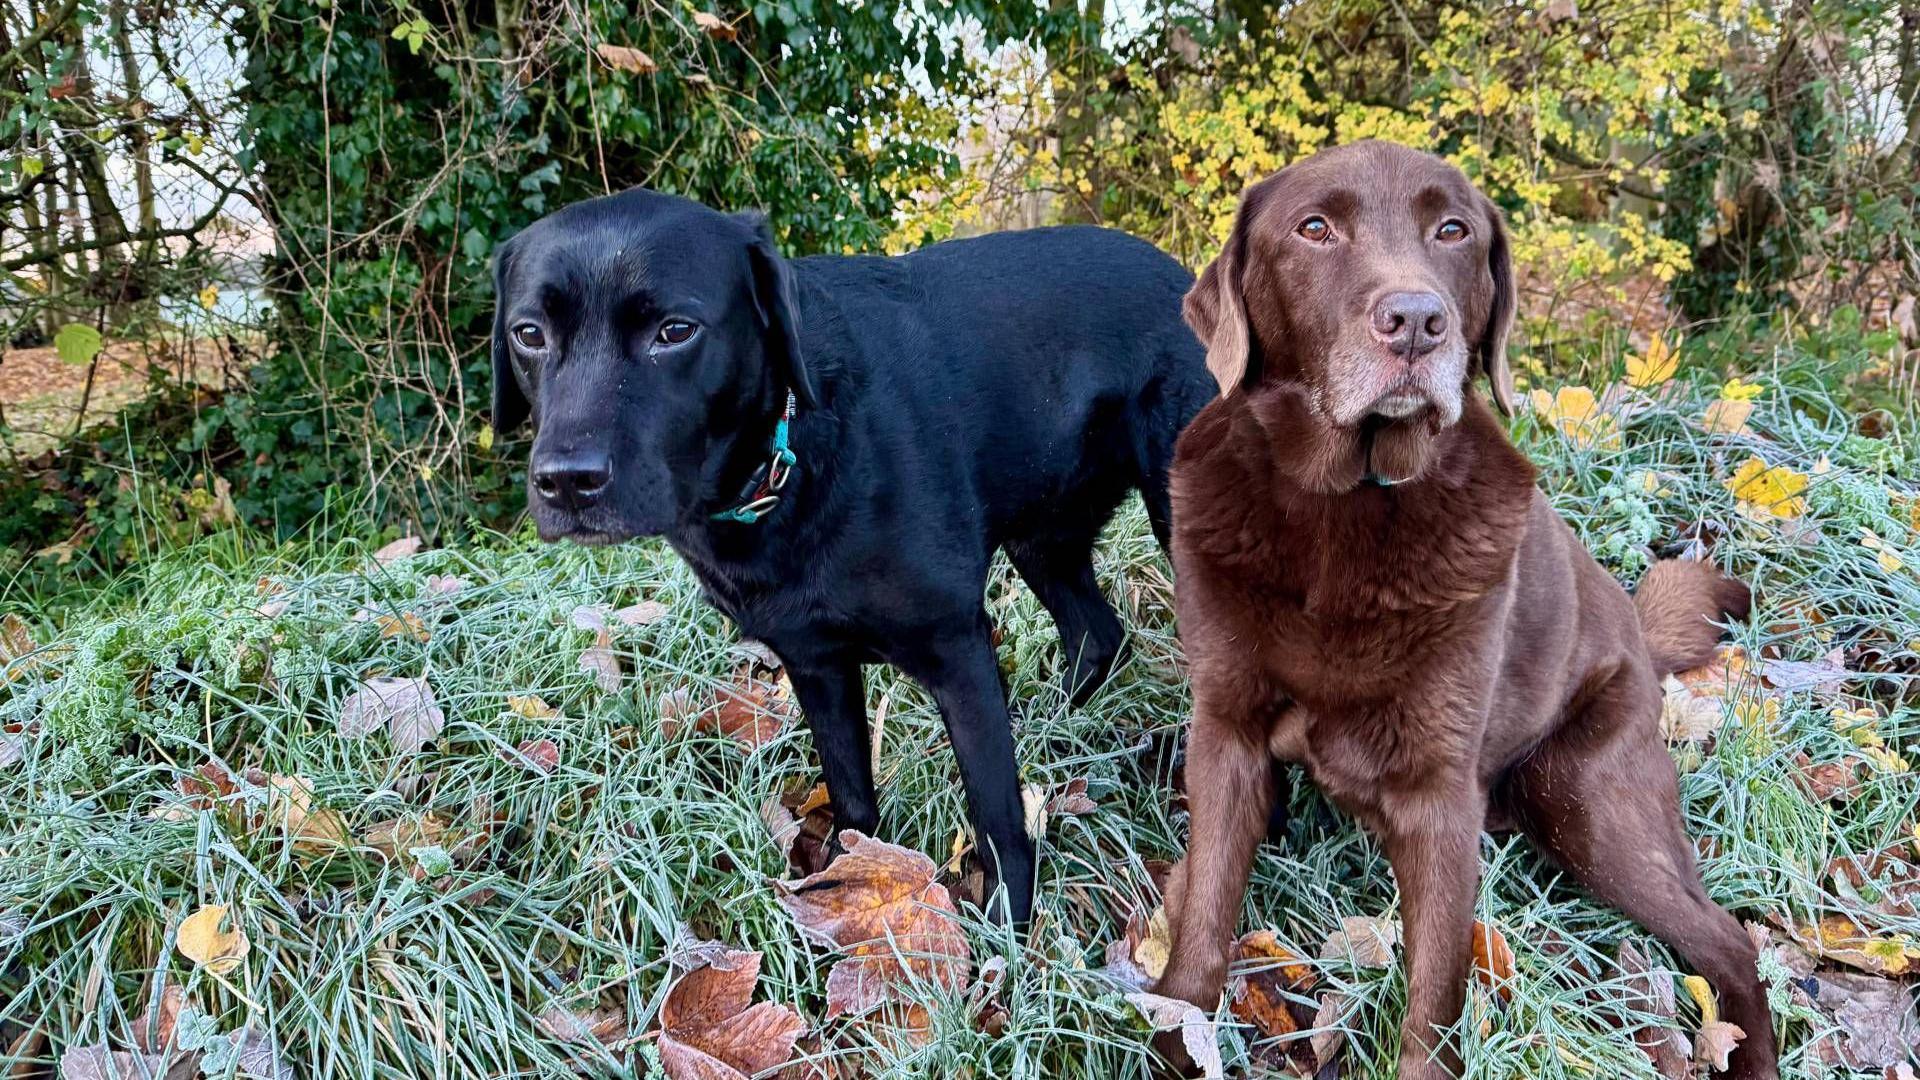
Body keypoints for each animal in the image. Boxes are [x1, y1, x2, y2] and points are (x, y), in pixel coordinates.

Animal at [495, 189, 1213, 910]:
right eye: (528, 334)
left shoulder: (957, 649)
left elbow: (997, 819)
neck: (788, 464)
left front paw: (1005, 929)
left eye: (675, 331)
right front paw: (844, 888)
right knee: (1097, 634)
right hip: (1041, 534)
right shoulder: (814, 665)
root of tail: (1181, 273)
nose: (567, 481)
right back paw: (1052, 728)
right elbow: (852, 802)